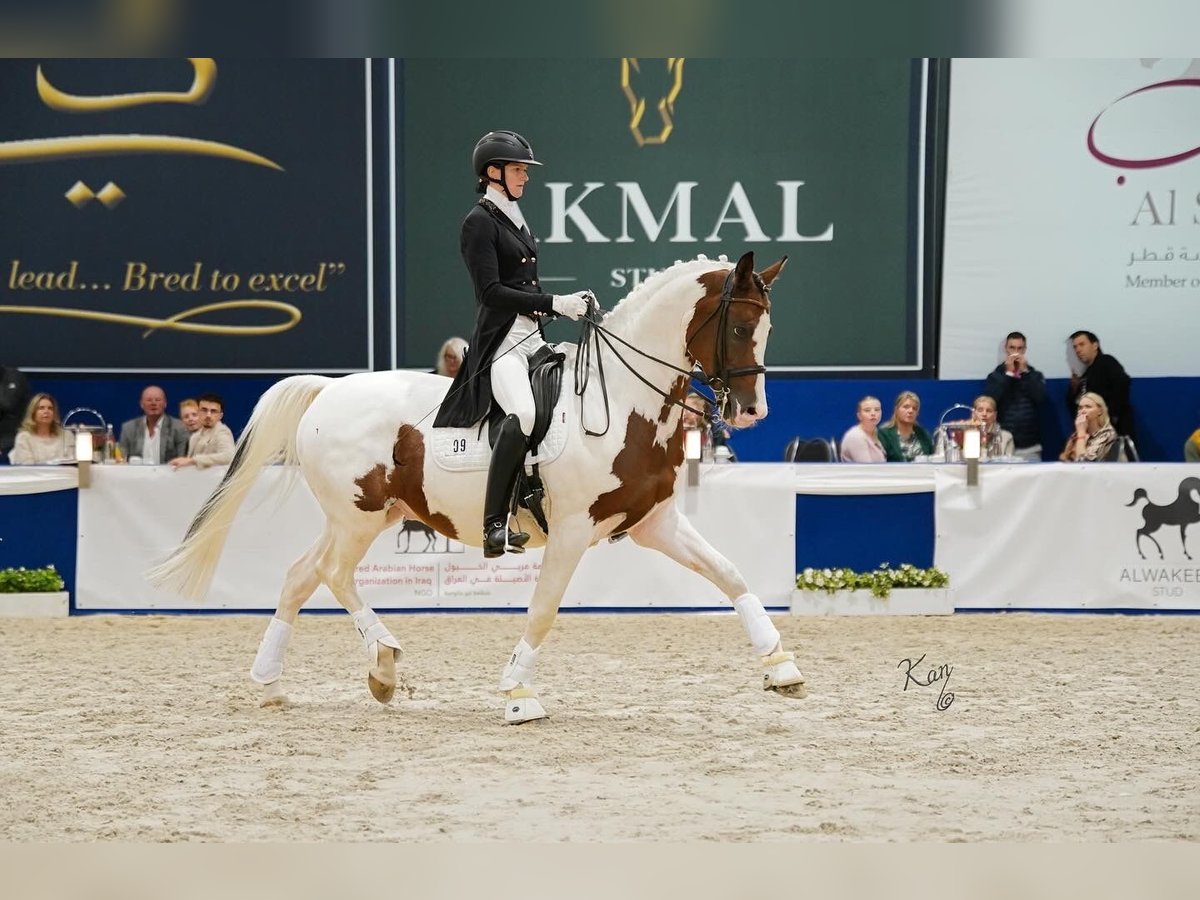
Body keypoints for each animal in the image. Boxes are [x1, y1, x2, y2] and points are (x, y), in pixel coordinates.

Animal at [148, 250, 806, 722]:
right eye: (740, 325)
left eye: (768, 326)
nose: (752, 411)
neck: (621, 401)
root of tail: (329, 389)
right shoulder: (572, 531)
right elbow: (543, 610)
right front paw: (518, 694)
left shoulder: (653, 522)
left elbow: (731, 574)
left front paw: (781, 667)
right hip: (358, 518)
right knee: (332, 574)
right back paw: (383, 663)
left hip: (371, 515)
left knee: (300, 575)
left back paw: (275, 684)